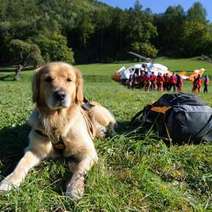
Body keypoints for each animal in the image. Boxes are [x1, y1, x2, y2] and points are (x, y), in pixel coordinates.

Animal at [0, 61, 116, 199]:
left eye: (69, 80)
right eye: (48, 79)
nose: (60, 95)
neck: (57, 120)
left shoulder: (89, 152)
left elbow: (79, 169)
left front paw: (75, 188)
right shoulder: (34, 150)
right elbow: (21, 163)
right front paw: (10, 181)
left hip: (96, 111)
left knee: (111, 124)